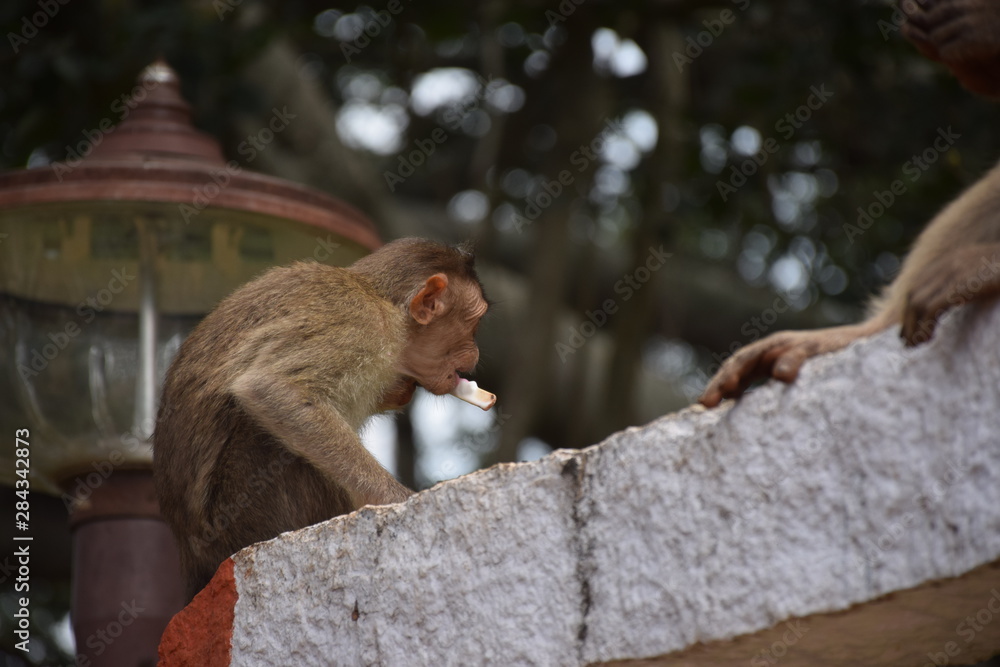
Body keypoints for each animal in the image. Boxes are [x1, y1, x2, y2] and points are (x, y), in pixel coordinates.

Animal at [153, 238, 488, 600]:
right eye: (474, 324)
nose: (476, 355)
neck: (381, 301)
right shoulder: (359, 324)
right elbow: (270, 387)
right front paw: (396, 499)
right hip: (241, 515)